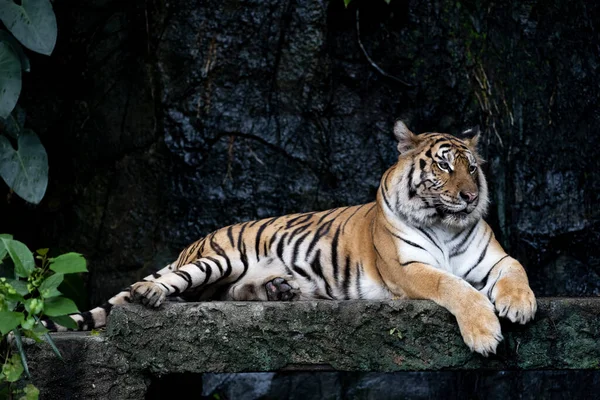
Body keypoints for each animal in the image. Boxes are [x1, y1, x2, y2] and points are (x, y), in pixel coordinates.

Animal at [44, 120, 536, 354]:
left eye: (471, 167)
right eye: (443, 165)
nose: (470, 196)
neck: (445, 224)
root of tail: (195, 241)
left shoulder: (494, 258)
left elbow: (516, 269)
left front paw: (519, 304)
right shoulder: (410, 268)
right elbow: (454, 287)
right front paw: (485, 334)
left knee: (229, 293)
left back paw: (281, 290)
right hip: (218, 259)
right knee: (172, 283)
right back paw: (150, 293)